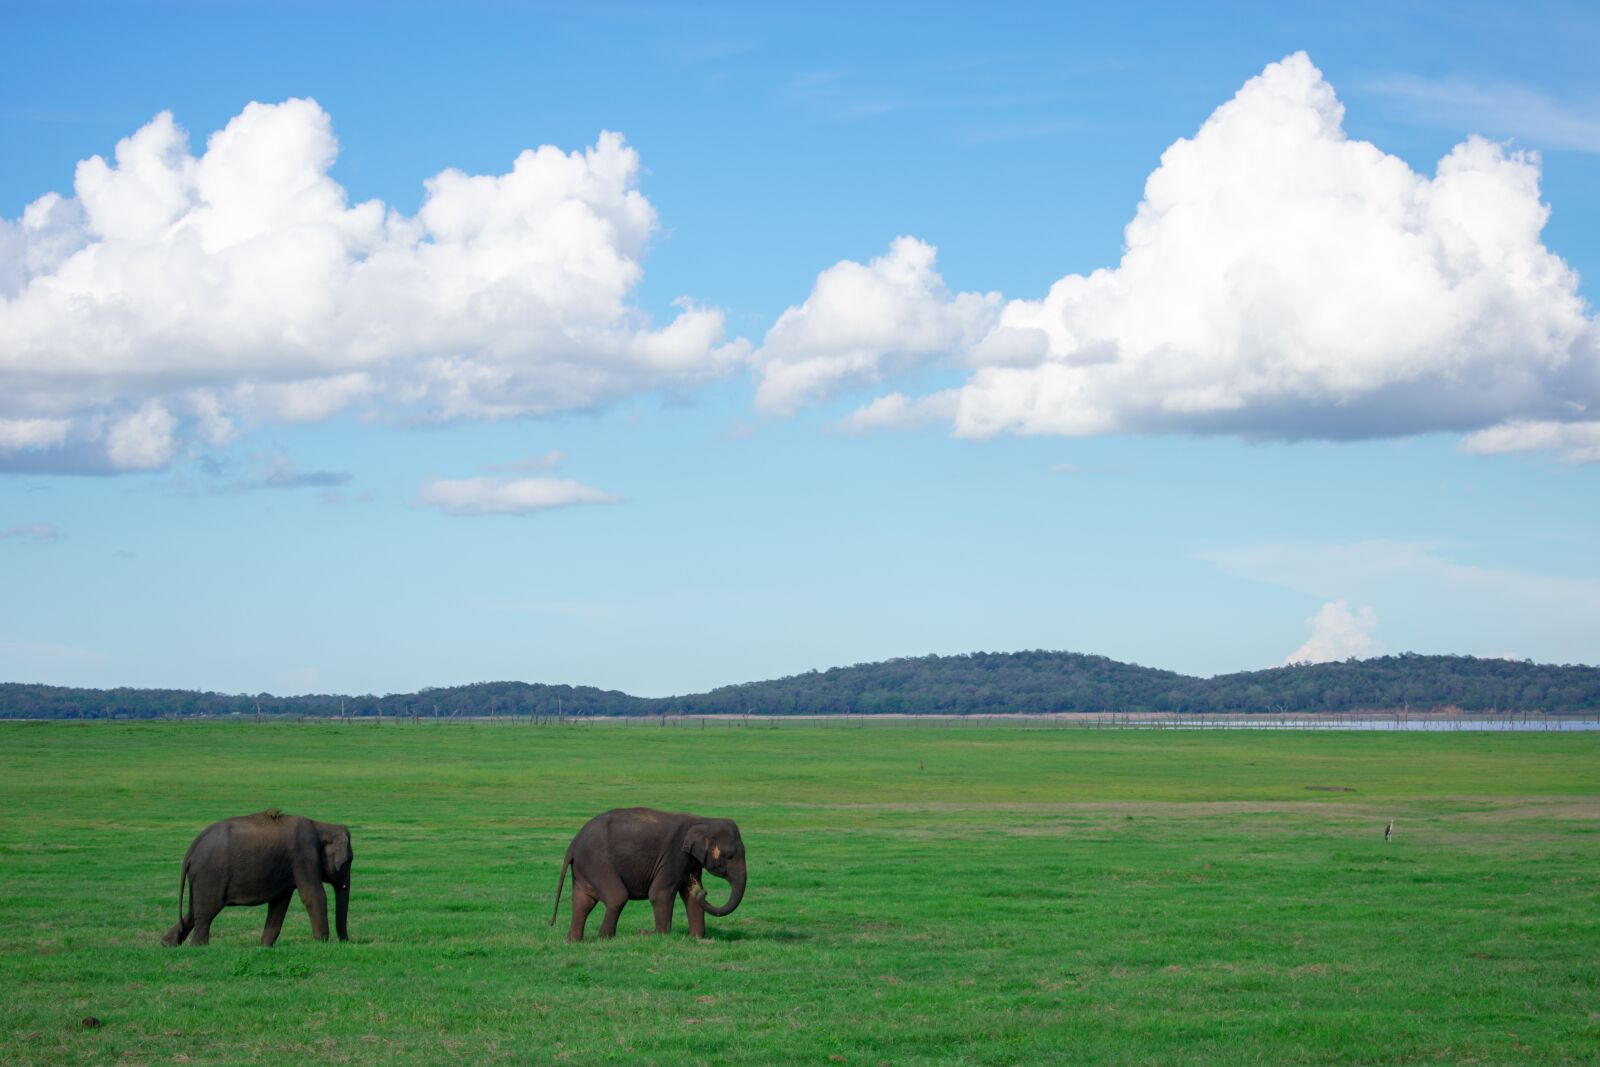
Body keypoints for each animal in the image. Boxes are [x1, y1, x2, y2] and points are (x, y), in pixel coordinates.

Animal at [161, 810, 353, 947]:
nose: (347, 941)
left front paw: (264, 946)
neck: (321, 826)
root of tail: (191, 851)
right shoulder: (304, 855)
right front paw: (322, 942)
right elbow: (313, 895)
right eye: (348, 862)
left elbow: (280, 902)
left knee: (195, 910)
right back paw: (199, 947)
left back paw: (167, 943)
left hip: (200, 879)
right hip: (210, 875)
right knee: (208, 911)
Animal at [548, 807, 746, 941]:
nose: (705, 892)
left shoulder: (690, 861)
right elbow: (660, 893)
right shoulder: (674, 856)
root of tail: (573, 843)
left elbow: (690, 896)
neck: (702, 820)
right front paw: (659, 936)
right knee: (617, 897)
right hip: (596, 862)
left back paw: (575, 941)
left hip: (585, 868)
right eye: (730, 856)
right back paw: (605, 938)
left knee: (583, 903)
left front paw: (697, 938)